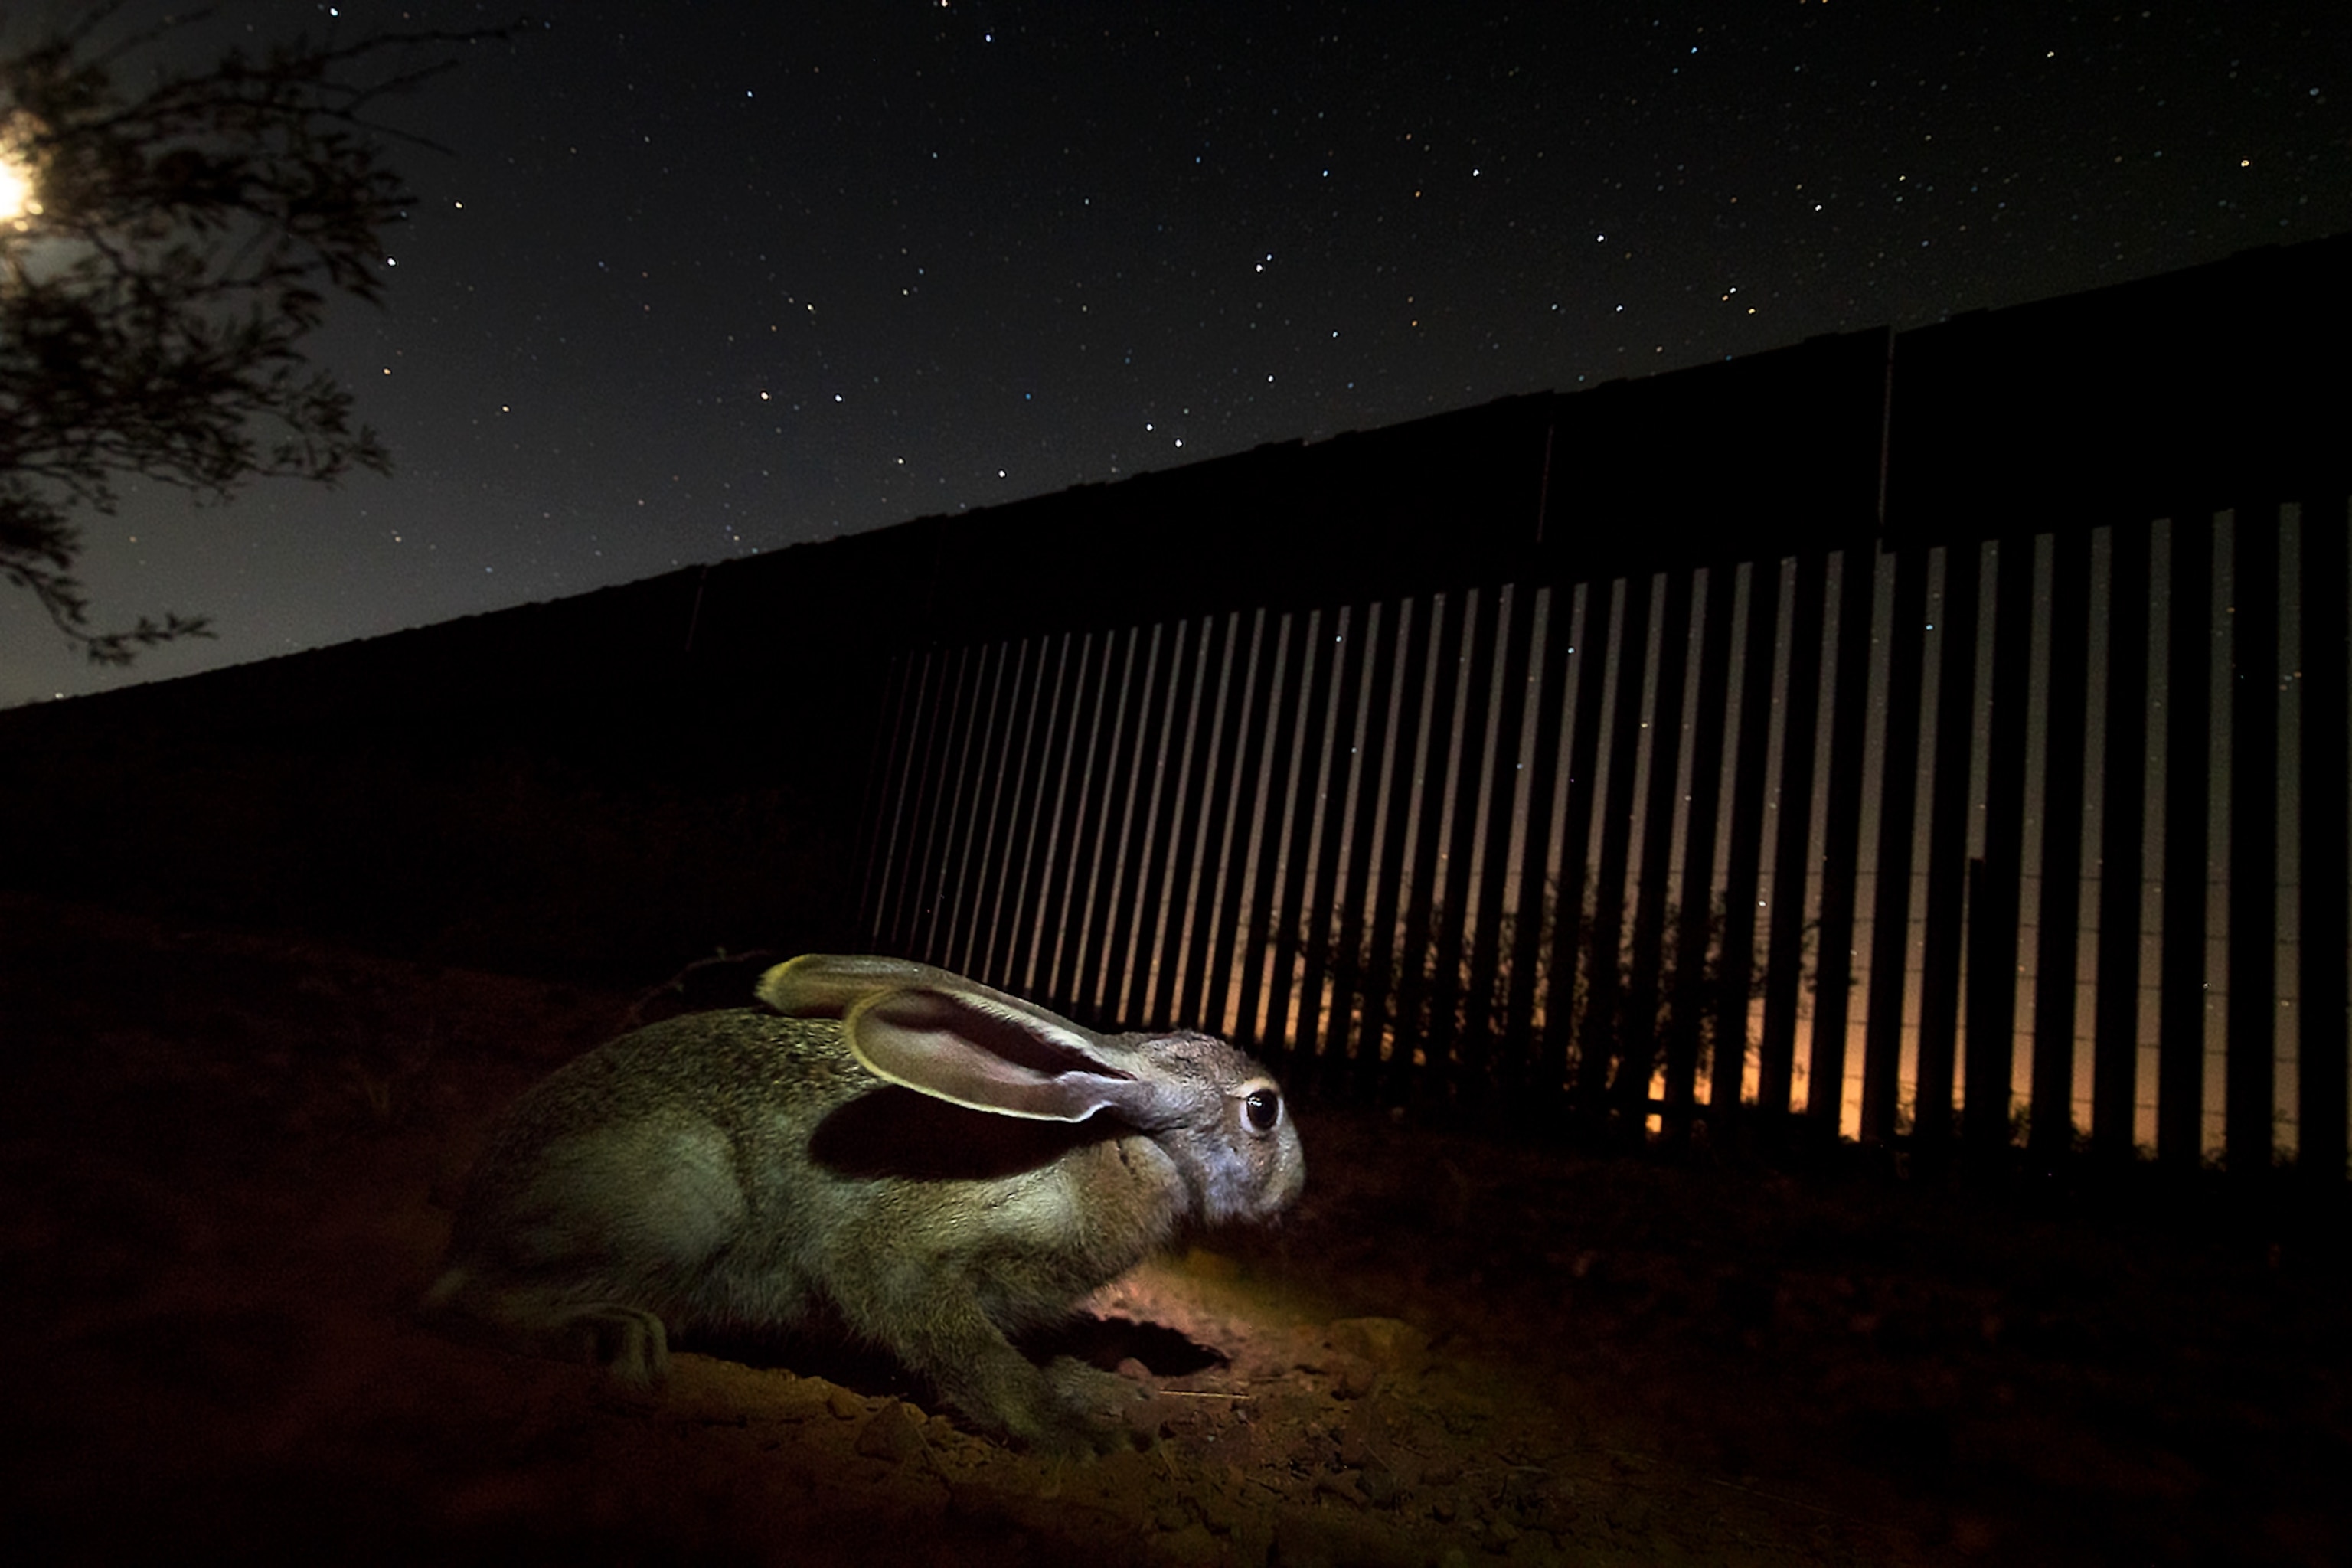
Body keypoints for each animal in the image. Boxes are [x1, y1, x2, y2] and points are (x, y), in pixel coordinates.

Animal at [422, 953, 1305, 1452]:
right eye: (1262, 1109)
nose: (1295, 1189)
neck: (1120, 1148)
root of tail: (474, 1218)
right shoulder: (898, 1255)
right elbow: (958, 1342)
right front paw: (1068, 1430)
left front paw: (1101, 1388)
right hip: (679, 1205)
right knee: (461, 1299)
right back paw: (612, 1337)